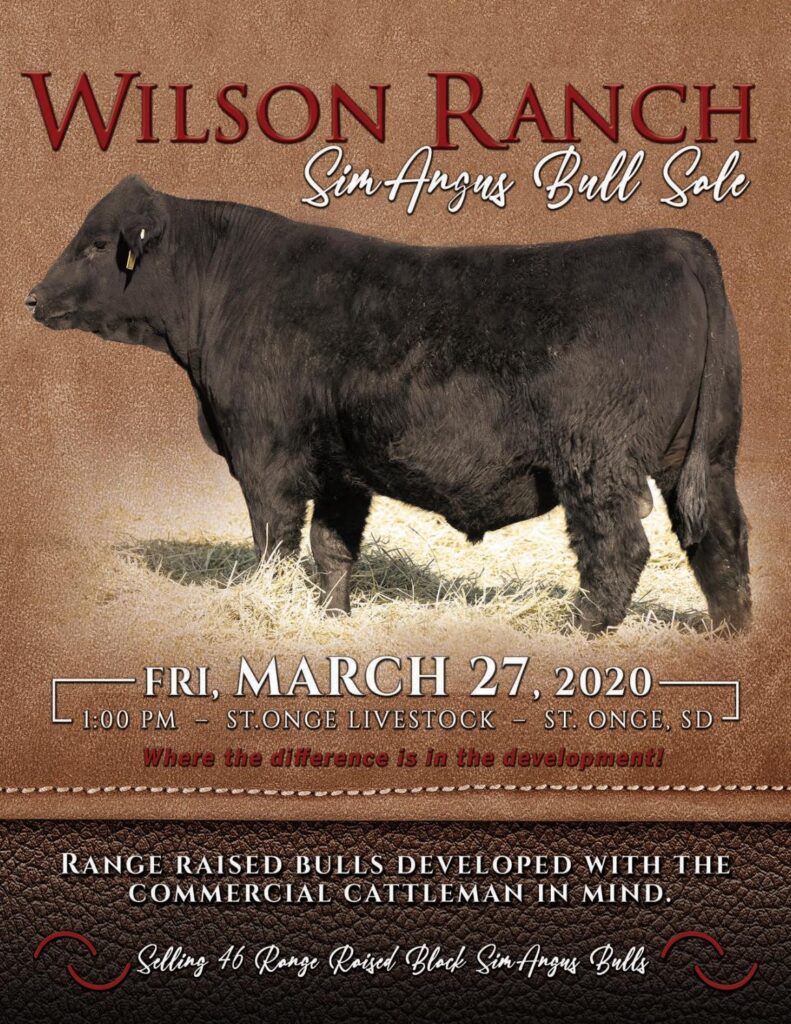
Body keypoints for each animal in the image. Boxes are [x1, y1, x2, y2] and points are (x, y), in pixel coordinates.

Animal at [26, 176, 751, 633]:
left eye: (96, 244)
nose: (32, 297)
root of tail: (675, 240)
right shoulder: (341, 471)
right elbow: (332, 549)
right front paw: (334, 619)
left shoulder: (264, 455)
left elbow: (273, 543)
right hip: (704, 455)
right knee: (720, 540)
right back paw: (729, 636)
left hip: (597, 459)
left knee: (619, 546)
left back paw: (577, 631)